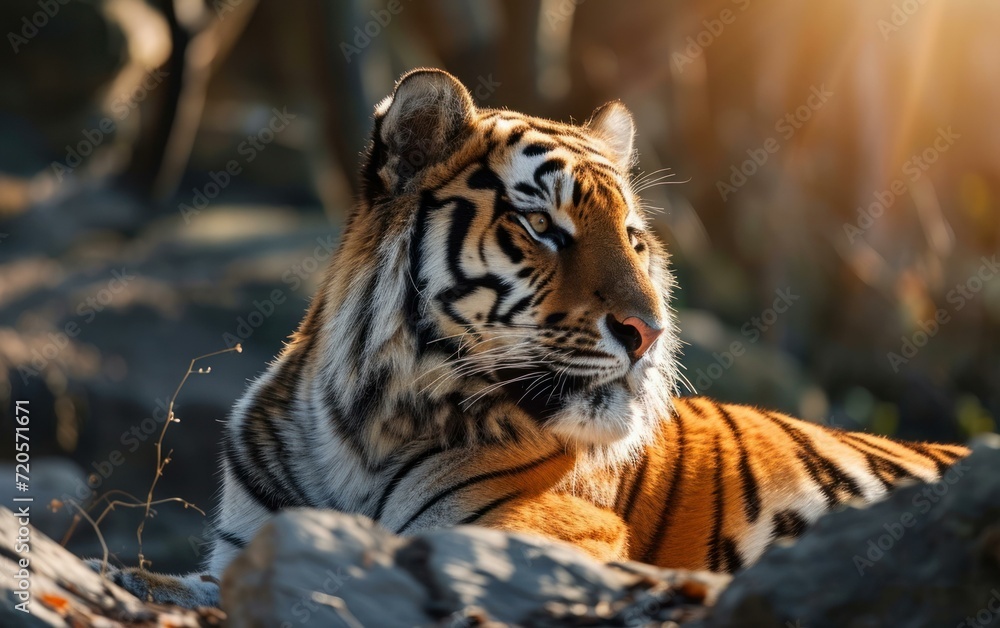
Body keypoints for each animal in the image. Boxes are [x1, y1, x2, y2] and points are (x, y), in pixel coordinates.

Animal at [99, 68, 969, 609]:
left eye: (634, 239)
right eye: (542, 227)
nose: (649, 333)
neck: (361, 427)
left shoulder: (531, 530)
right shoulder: (240, 546)